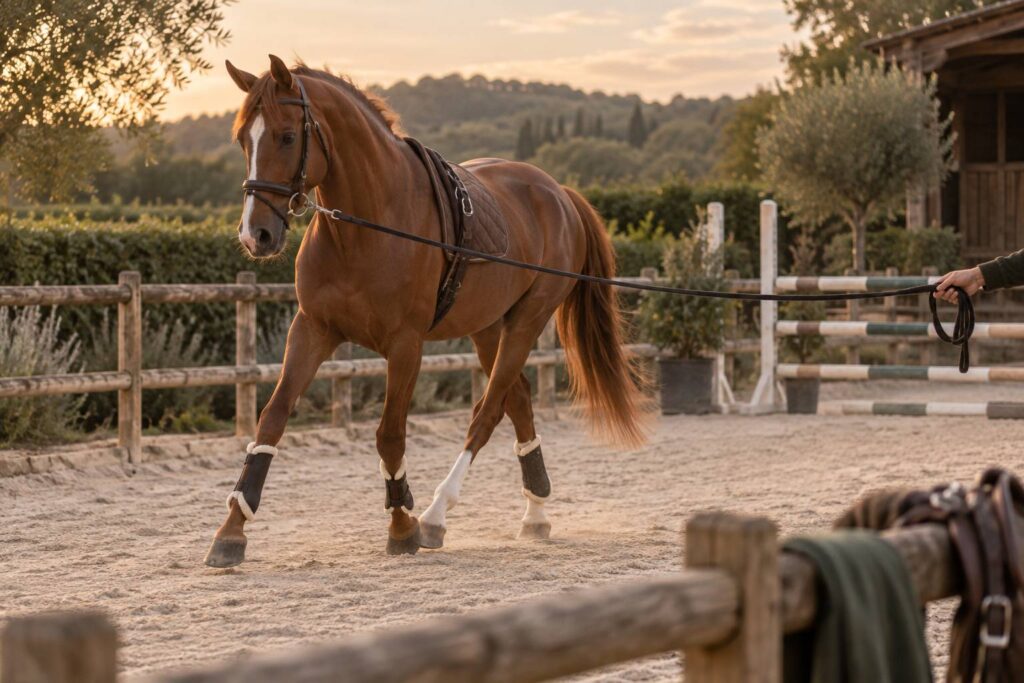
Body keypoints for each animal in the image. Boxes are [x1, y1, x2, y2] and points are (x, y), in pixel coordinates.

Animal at [205, 54, 647, 567]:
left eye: (287, 136)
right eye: (243, 139)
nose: (255, 235)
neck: (365, 227)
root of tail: (558, 192)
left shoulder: (405, 345)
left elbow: (390, 434)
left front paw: (402, 526)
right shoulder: (312, 329)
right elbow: (272, 418)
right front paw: (231, 532)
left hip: (526, 323)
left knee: (487, 411)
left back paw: (436, 516)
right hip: (487, 328)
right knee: (516, 401)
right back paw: (534, 514)